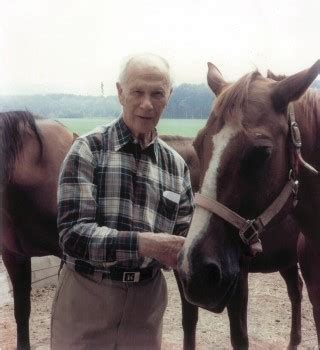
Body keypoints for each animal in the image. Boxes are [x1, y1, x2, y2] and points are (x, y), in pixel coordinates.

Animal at [178, 59, 320, 348]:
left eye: (262, 152)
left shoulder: (239, 277)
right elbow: (191, 323)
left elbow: (239, 336)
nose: (197, 270)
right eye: (198, 144)